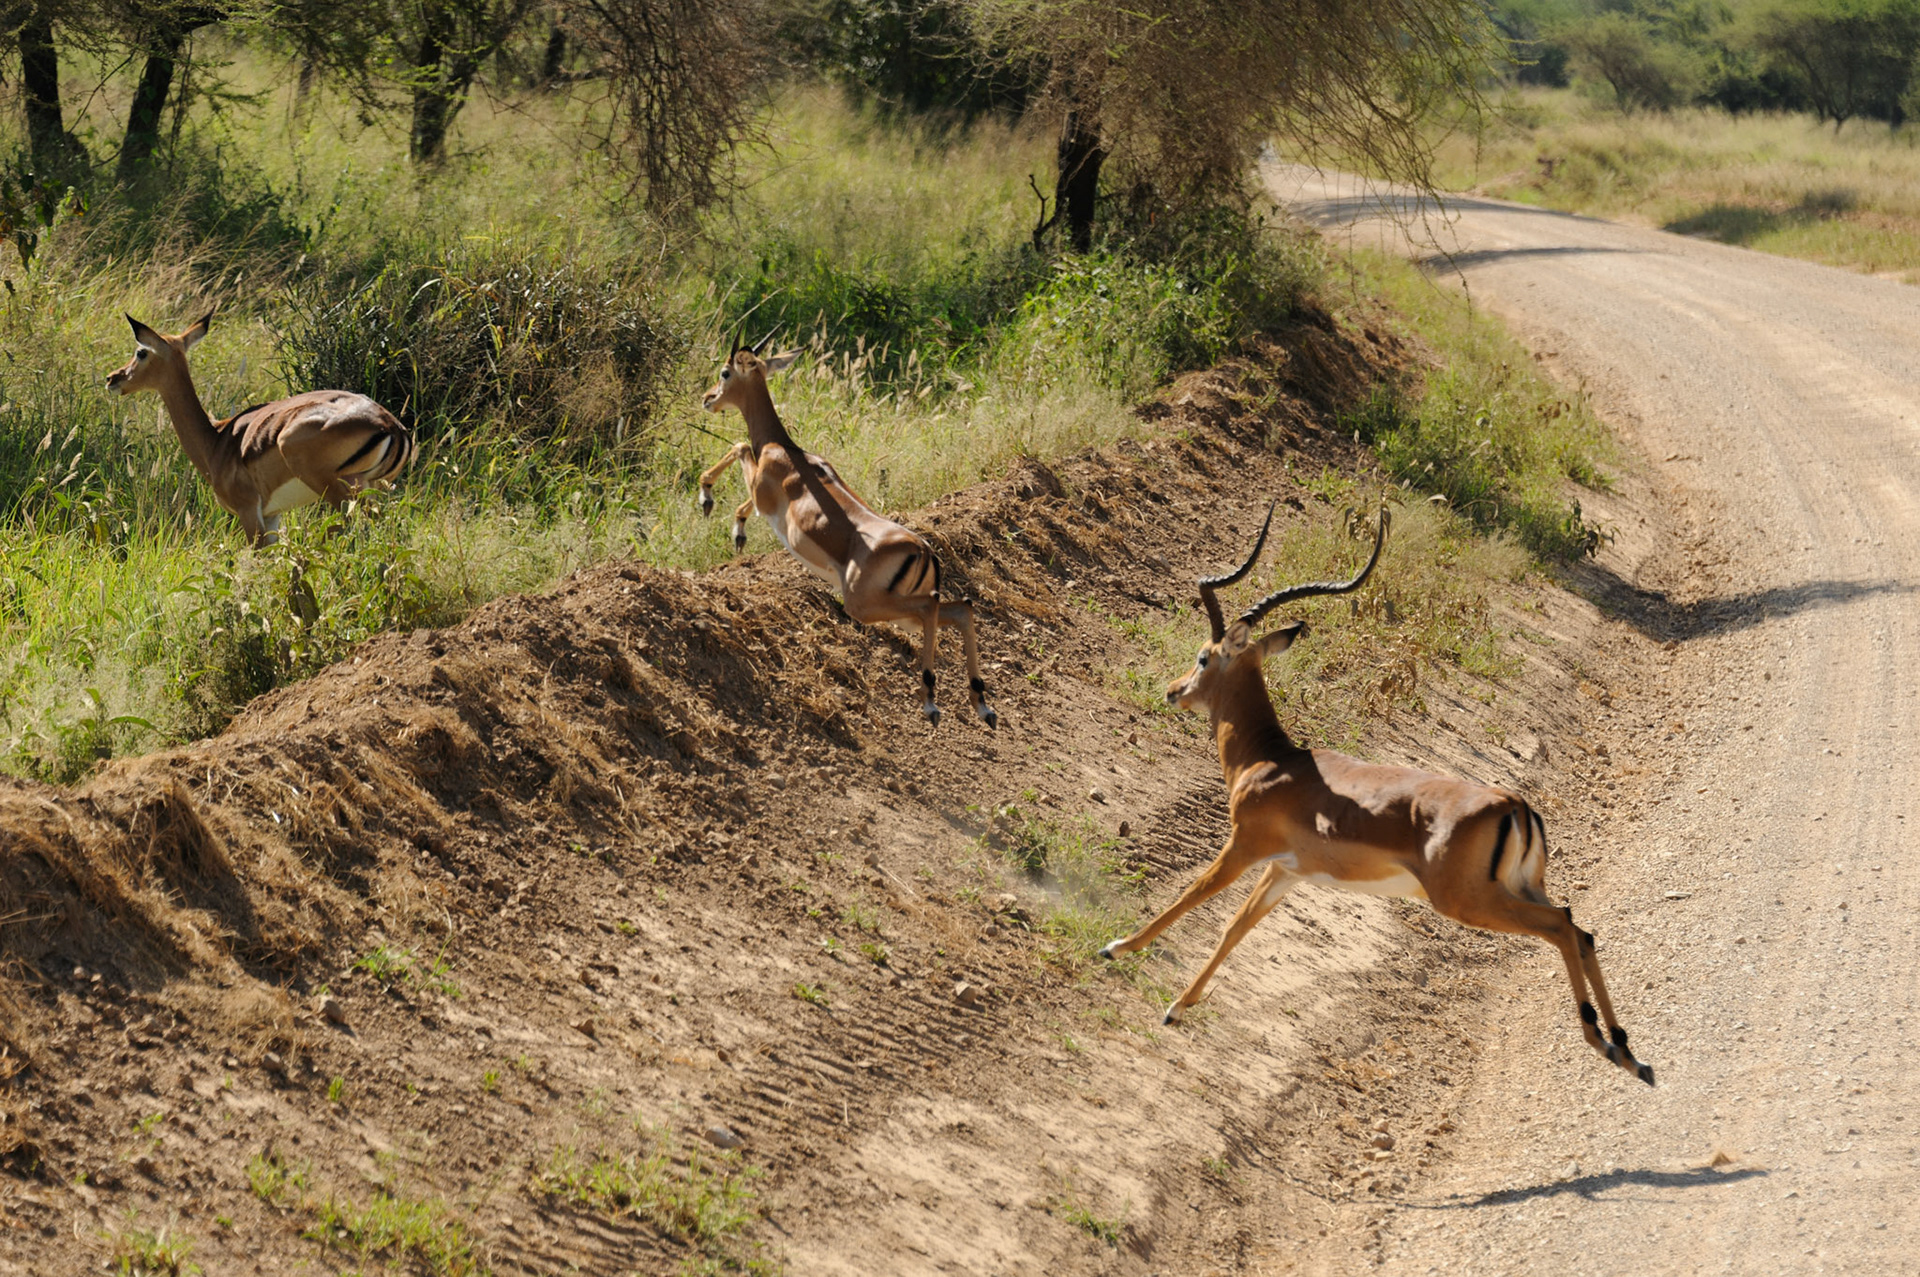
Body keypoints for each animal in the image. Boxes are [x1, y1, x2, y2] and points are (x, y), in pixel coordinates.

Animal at [104, 312, 414, 546]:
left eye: (141, 352)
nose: (113, 378)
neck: (216, 441)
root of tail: (389, 424)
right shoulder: (273, 515)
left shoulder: (249, 512)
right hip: (374, 488)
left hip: (343, 491)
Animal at [697, 341, 996, 729]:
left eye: (725, 372)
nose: (708, 398)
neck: (781, 447)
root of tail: (924, 550)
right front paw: (736, 529)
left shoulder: (763, 490)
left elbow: (738, 447)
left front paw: (709, 500)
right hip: (900, 614)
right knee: (962, 608)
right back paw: (982, 705)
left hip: (866, 605)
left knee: (933, 606)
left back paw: (931, 701)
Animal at [1103, 505, 1654, 1086]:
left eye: (1204, 658)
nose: (1173, 690)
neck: (1270, 761)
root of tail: (1514, 805)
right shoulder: (1286, 870)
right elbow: (1237, 927)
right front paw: (1178, 1006)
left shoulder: (1244, 846)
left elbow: (1193, 894)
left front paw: (1118, 948)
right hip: (1521, 888)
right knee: (1580, 926)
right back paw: (1628, 1052)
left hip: (1469, 901)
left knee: (1562, 928)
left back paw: (1604, 1042)